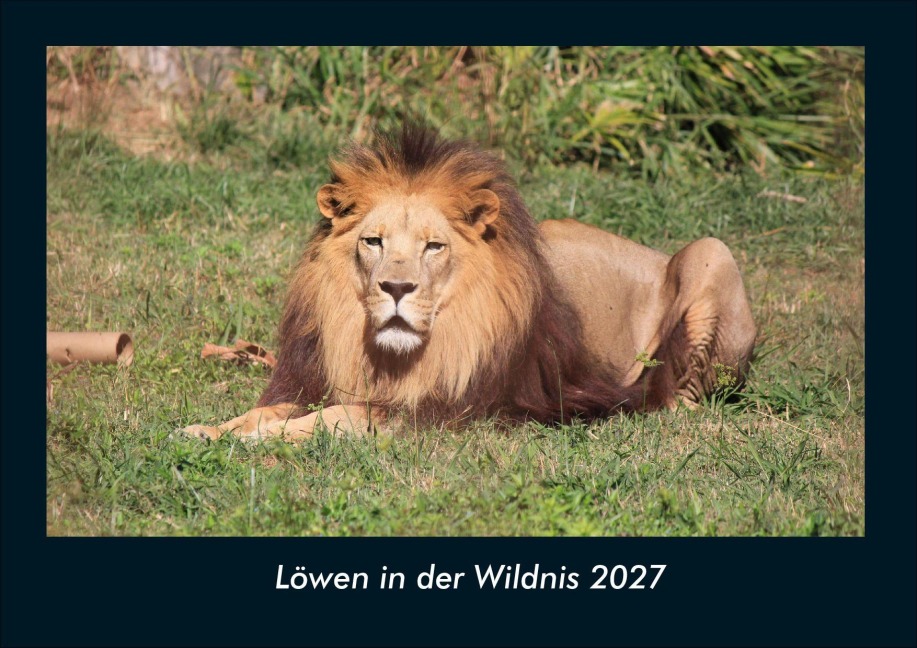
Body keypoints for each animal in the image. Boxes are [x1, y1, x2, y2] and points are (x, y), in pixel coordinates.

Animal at [183, 123, 755, 442]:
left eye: (434, 247)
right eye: (374, 242)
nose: (396, 289)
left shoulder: (454, 411)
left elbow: (340, 416)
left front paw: (265, 439)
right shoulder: (315, 378)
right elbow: (266, 409)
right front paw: (209, 430)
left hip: (712, 253)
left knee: (684, 394)